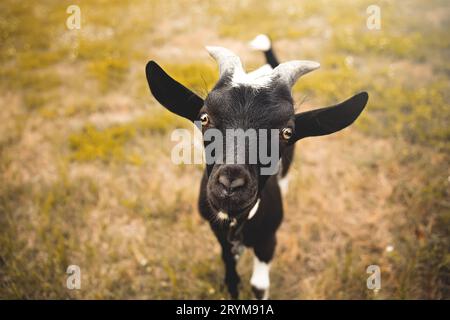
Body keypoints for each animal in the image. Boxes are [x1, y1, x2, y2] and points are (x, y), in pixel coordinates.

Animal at [145, 36, 370, 298]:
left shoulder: (268, 240)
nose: (230, 183)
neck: (238, 224)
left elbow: (258, 285)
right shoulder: (221, 237)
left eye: (287, 132)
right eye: (204, 118)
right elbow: (230, 273)